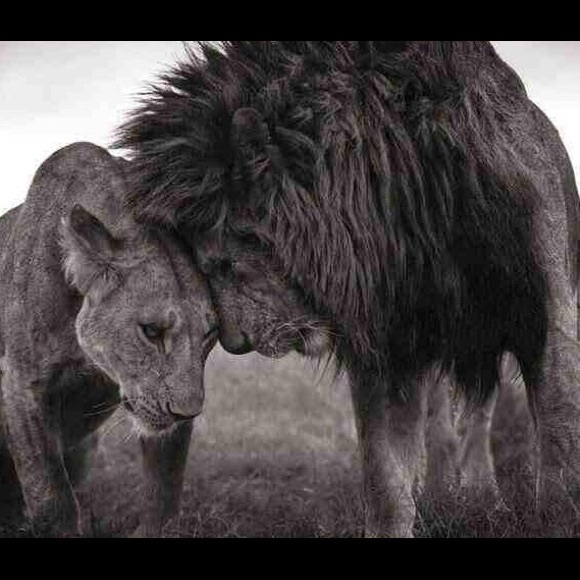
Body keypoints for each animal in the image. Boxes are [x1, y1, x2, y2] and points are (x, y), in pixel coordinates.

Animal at [0, 142, 218, 537]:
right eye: (151, 331)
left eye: (209, 334)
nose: (187, 411)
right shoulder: (23, 382)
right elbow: (50, 493)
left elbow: (165, 487)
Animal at [116, 41, 580, 537]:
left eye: (220, 263)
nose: (236, 344)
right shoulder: (386, 342)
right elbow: (384, 474)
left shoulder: (546, 315)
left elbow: (558, 443)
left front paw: (555, 516)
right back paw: (444, 494)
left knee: (479, 415)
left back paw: (482, 496)